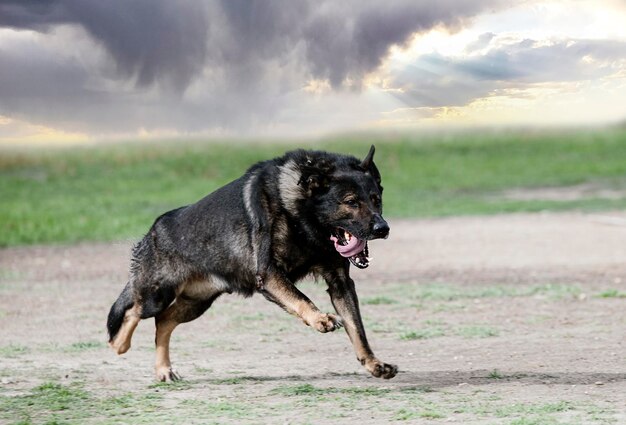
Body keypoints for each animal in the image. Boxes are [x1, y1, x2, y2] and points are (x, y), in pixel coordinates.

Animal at [106, 146, 394, 380]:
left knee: (163, 322)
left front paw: (373, 363)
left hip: (195, 304)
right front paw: (320, 318)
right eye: (351, 202)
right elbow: (301, 298)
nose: (383, 229)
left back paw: (164, 370)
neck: (300, 212)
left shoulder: (340, 283)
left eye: (376, 199)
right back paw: (119, 346)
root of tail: (153, 231)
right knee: (134, 312)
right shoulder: (269, 274)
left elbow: (357, 328)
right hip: (159, 295)